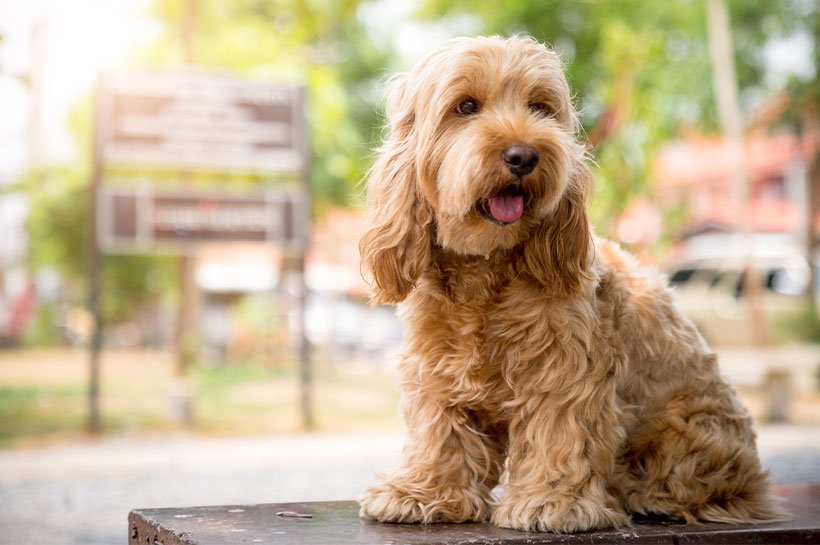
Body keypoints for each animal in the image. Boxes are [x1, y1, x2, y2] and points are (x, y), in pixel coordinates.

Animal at [358, 35, 780, 532]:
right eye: (465, 106)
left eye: (540, 108)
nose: (523, 156)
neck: (487, 272)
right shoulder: (436, 371)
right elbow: (441, 432)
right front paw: (424, 492)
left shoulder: (567, 372)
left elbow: (559, 433)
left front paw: (552, 502)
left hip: (687, 429)